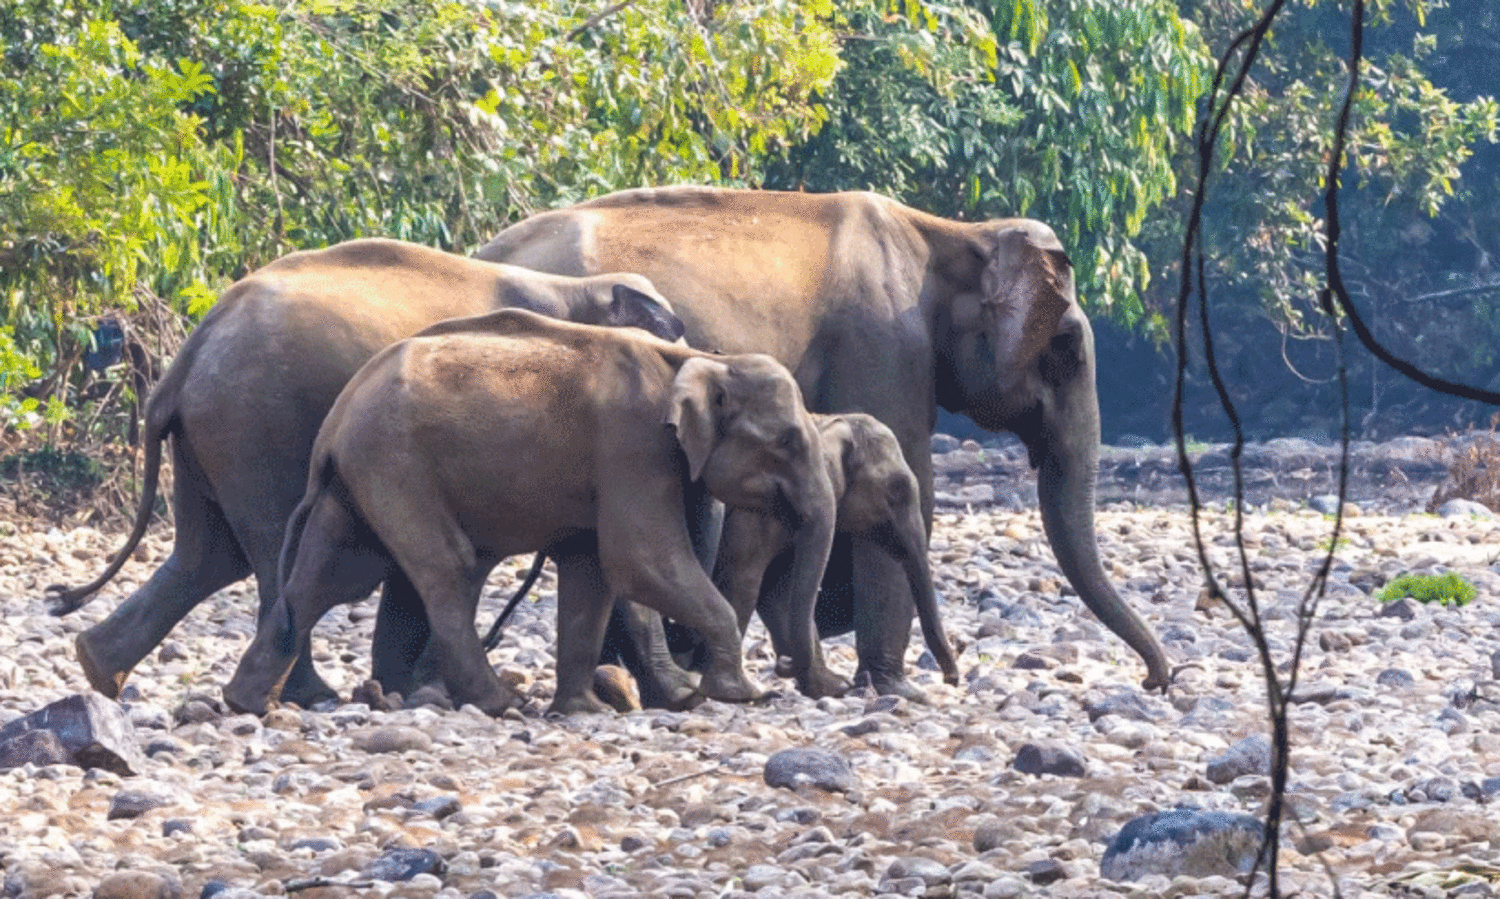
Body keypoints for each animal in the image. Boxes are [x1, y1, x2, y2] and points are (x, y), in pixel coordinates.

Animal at [48, 238, 686, 706]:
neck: (580, 290)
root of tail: (182, 362)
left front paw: (407, 688)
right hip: (254, 426)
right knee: (269, 551)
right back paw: (311, 696)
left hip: (213, 437)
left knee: (208, 556)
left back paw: (99, 668)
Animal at [221, 308, 838, 716]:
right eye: (786, 441)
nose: (790, 676)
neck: (698, 360)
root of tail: (337, 420)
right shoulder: (631, 446)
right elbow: (641, 560)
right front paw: (737, 695)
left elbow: (594, 571)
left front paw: (586, 710)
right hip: (395, 464)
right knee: (447, 568)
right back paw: (499, 702)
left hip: (358, 479)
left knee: (326, 576)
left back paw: (247, 702)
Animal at [474, 186, 1171, 697]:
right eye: (1068, 346)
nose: (1157, 681)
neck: (950, 232)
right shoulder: (885, 347)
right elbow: (910, 487)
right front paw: (890, 687)